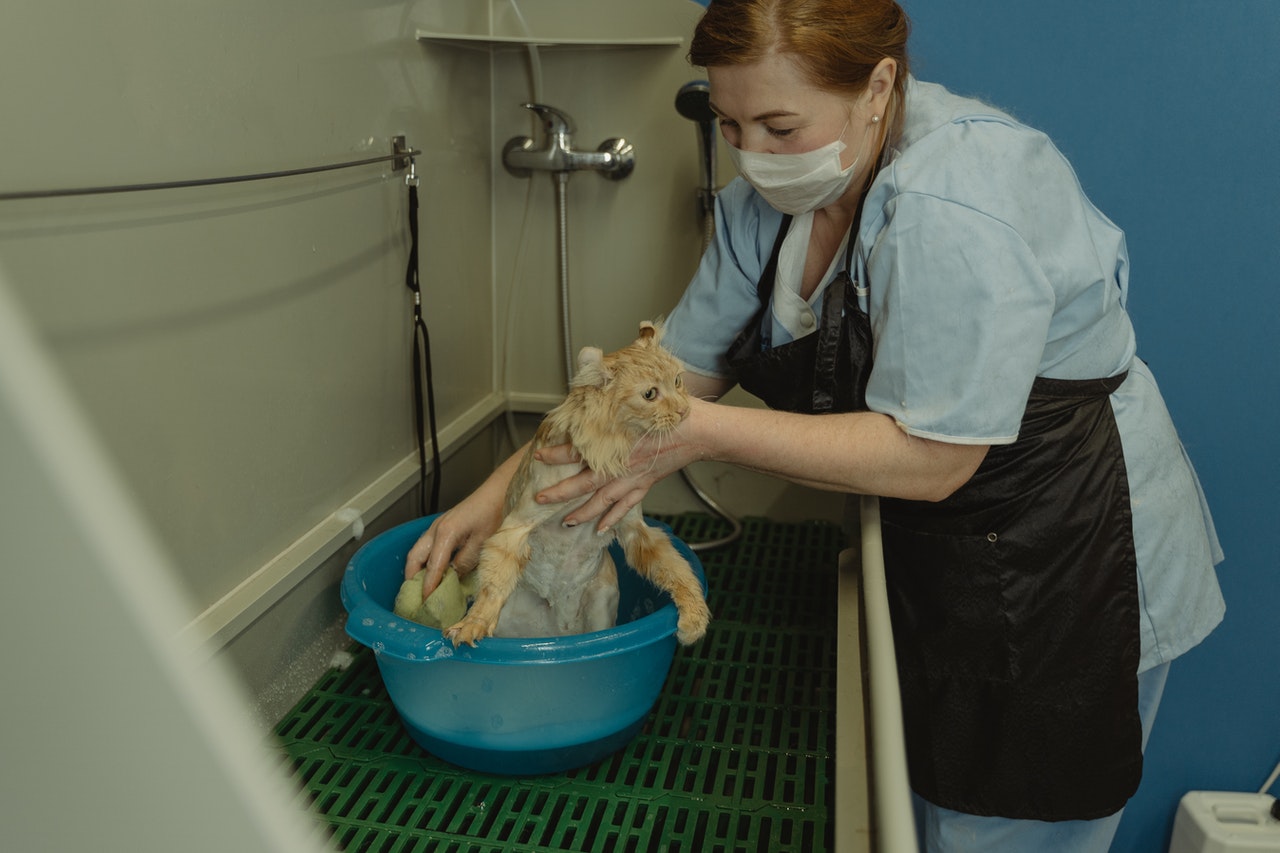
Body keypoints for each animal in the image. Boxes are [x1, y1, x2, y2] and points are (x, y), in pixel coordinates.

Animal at [445, 318, 716, 645]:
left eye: (677, 381)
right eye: (650, 394)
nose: (684, 410)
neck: (610, 448)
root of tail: (560, 631)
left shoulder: (635, 528)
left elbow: (676, 568)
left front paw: (695, 615)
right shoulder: (515, 527)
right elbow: (492, 588)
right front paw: (473, 623)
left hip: (601, 605)